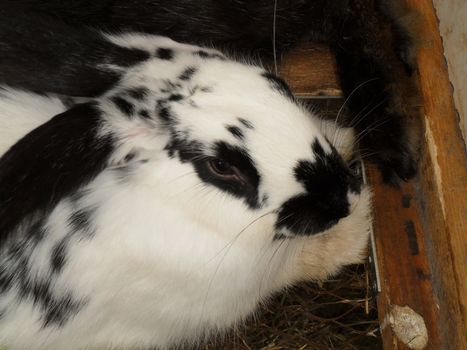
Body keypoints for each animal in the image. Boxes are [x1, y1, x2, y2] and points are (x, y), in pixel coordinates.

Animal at [0, 34, 372, 350]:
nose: (345, 198)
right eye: (220, 166)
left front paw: (345, 138)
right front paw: (361, 228)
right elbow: (308, 259)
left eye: (278, 83)